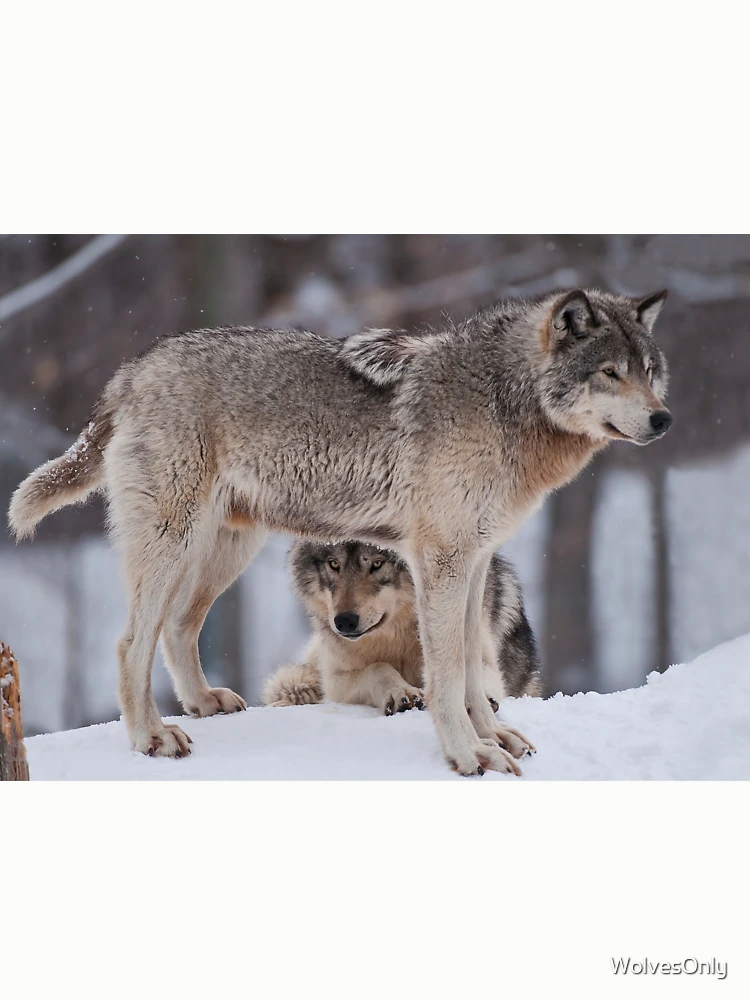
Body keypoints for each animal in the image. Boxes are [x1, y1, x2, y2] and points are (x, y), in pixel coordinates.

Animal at [262, 542, 542, 734]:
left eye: (377, 564)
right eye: (333, 564)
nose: (344, 621)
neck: (397, 636)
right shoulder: (336, 681)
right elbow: (378, 667)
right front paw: (401, 693)